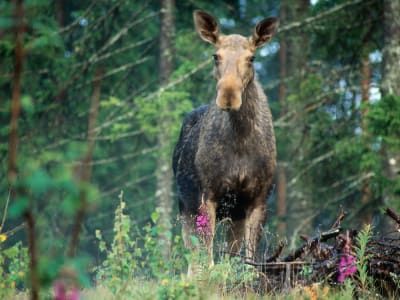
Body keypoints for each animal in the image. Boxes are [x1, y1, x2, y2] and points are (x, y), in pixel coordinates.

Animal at [172, 10, 278, 274]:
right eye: (215, 55)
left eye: (251, 58)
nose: (228, 95)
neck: (240, 140)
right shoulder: (206, 194)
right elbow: (207, 259)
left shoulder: (258, 198)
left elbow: (249, 260)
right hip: (184, 206)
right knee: (192, 259)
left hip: (233, 215)